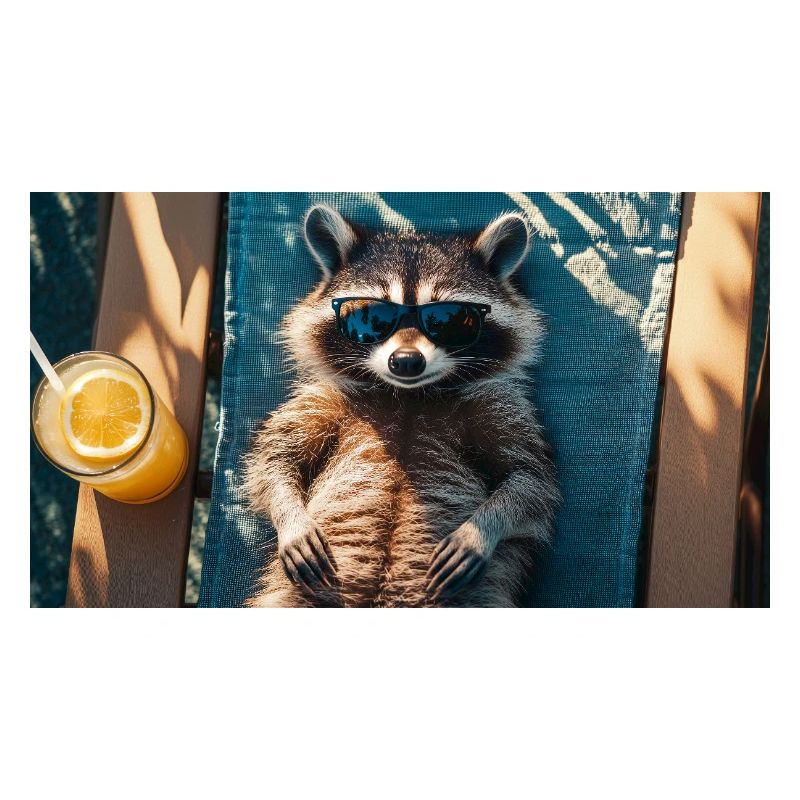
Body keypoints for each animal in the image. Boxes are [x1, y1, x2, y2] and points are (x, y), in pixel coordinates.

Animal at [243, 204, 559, 607]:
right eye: (370, 316)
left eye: (451, 319)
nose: (406, 361)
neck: (408, 395)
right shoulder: (327, 397)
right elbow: (275, 461)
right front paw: (292, 519)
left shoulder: (496, 402)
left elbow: (530, 481)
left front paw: (481, 529)